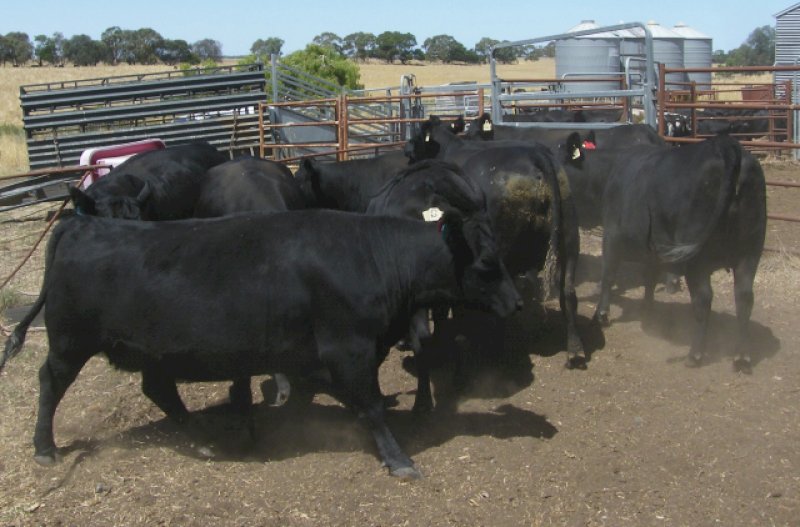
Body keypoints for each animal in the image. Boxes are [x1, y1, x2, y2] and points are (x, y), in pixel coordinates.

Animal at [1, 208, 521, 480]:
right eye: (486, 264)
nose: (516, 303)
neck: (373, 257)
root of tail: (81, 222)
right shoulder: (349, 348)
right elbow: (371, 406)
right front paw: (398, 459)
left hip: (151, 353)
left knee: (160, 390)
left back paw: (203, 439)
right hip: (70, 341)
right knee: (50, 383)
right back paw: (44, 446)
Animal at [405, 116, 586, 368]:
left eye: (416, 140)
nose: (406, 152)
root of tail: (536, 156)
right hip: (570, 236)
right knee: (567, 293)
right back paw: (574, 350)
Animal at [592, 134, 766, 372]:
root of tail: (726, 145)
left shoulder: (611, 236)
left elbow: (608, 275)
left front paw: (602, 314)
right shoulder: (652, 251)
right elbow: (649, 278)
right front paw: (648, 310)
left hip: (698, 261)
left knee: (703, 299)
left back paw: (695, 355)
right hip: (749, 254)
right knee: (744, 297)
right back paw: (742, 356)